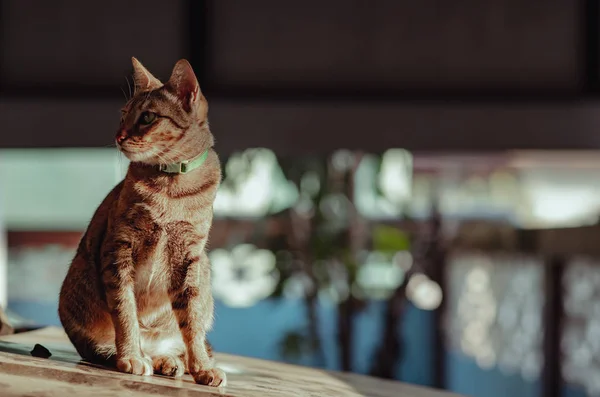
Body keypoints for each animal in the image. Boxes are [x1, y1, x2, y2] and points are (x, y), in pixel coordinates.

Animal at [57, 57, 226, 386]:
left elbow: (192, 321)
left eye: (147, 117)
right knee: (105, 347)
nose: (118, 136)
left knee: (177, 342)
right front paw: (131, 356)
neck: (171, 188)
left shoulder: (189, 255)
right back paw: (142, 356)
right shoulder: (119, 246)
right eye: (124, 115)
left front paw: (202, 367)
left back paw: (169, 361)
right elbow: (125, 310)